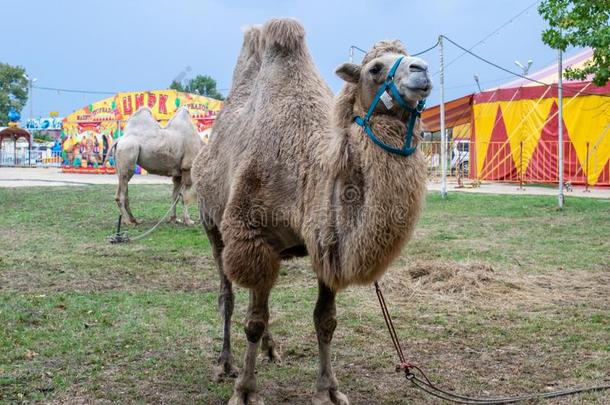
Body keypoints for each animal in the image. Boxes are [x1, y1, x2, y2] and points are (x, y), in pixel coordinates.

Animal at [192, 19, 430, 404]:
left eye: (411, 57)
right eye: (374, 68)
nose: (421, 70)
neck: (306, 172)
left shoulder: (325, 244)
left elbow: (325, 320)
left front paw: (328, 390)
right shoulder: (253, 238)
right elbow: (253, 321)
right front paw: (245, 390)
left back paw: (272, 350)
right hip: (211, 224)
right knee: (228, 295)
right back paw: (225, 364)